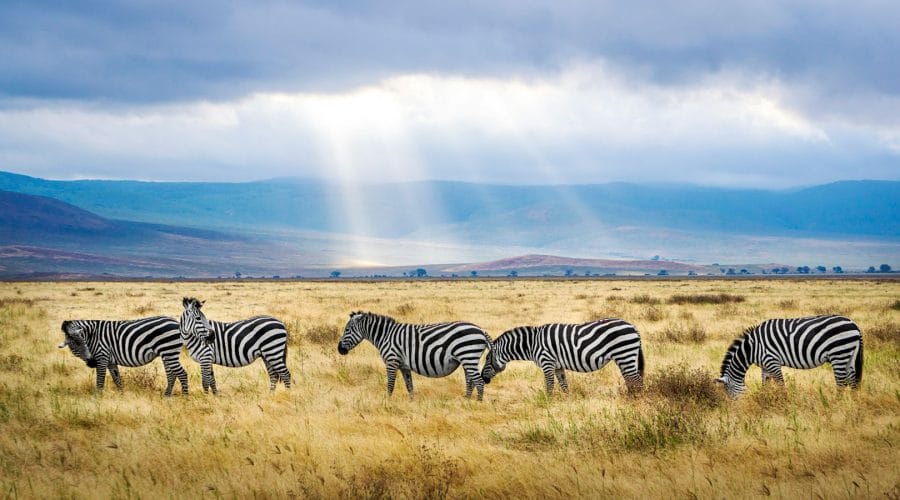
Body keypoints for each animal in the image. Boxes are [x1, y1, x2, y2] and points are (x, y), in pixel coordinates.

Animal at [58, 316, 188, 396]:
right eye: (75, 344)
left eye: (83, 342)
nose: (91, 362)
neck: (93, 336)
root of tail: (176, 322)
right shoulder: (110, 361)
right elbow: (117, 379)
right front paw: (122, 395)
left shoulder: (102, 356)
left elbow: (100, 381)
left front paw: (97, 399)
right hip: (167, 353)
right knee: (171, 374)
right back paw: (167, 396)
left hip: (169, 351)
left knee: (182, 373)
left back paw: (185, 397)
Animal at [337, 311, 492, 400]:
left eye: (347, 330)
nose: (339, 350)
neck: (385, 336)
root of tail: (481, 330)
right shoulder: (404, 366)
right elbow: (409, 385)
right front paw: (411, 403)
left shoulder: (392, 361)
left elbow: (390, 384)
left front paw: (387, 402)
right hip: (467, 359)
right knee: (470, 381)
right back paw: (466, 400)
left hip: (468, 356)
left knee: (479, 382)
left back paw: (477, 404)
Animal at [480, 318, 645, 395]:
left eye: (487, 359)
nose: (483, 378)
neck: (532, 344)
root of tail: (633, 327)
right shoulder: (558, 366)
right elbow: (564, 385)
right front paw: (567, 402)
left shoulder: (547, 362)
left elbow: (549, 385)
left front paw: (548, 403)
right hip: (625, 357)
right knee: (631, 380)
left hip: (625, 354)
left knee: (636, 380)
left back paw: (636, 401)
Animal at [716, 315, 863, 397]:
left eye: (729, 392)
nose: (734, 409)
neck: (752, 348)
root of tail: (854, 324)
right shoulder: (765, 366)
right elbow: (765, 385)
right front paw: (765, 400)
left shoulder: (772, 361)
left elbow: (781, 385)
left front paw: (784, 404)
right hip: (849, 355)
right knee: (853, 381)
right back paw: (855, 405)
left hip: (838, 353)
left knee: (841, 383)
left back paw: (835, 405)